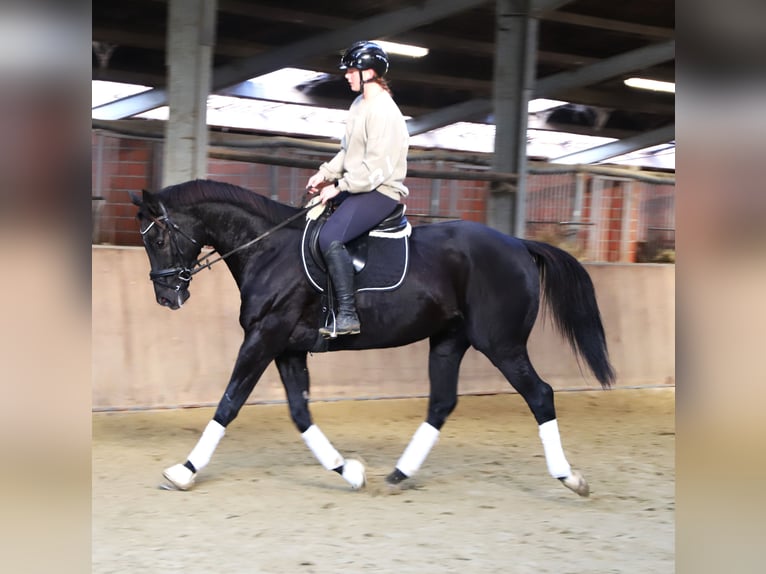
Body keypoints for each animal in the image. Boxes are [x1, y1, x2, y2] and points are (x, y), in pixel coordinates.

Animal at [130, 178, 615, 497]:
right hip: (449, 340)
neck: (268, 250)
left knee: (540, 395)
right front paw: (348, 470)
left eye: (158, 237)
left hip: (501, 344)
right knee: (442, 403)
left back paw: (570, 478)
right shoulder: (286, 347)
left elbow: (229, 403)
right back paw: (399, 474)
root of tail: (518, 244)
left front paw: (184, 471)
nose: (166, 296)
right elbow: (300, 414)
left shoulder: (264, 338)